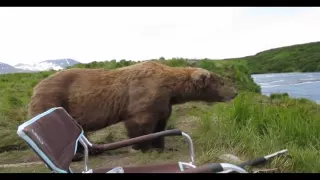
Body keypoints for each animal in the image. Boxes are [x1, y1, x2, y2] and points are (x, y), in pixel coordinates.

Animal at [27, 60, 238, 160]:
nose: (235, 92)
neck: (170, 88)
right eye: (222, 82)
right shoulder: (143, 95)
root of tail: (35, 87)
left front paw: (161, 146)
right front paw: (143, 147)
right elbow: (141, 123)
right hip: (54, 100)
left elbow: (161, 124)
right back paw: (78, 155)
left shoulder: (164, 102)